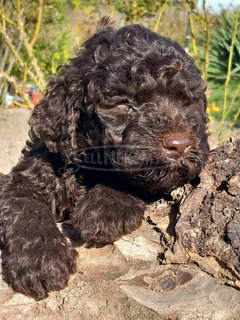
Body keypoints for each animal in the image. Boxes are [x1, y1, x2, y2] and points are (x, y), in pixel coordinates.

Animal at [0, 18, 209, 300]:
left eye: (187, 102)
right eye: (124, 103)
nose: (180, 144)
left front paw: (106, 207)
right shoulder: (26, 176)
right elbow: (24, 205)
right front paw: (40, 258)